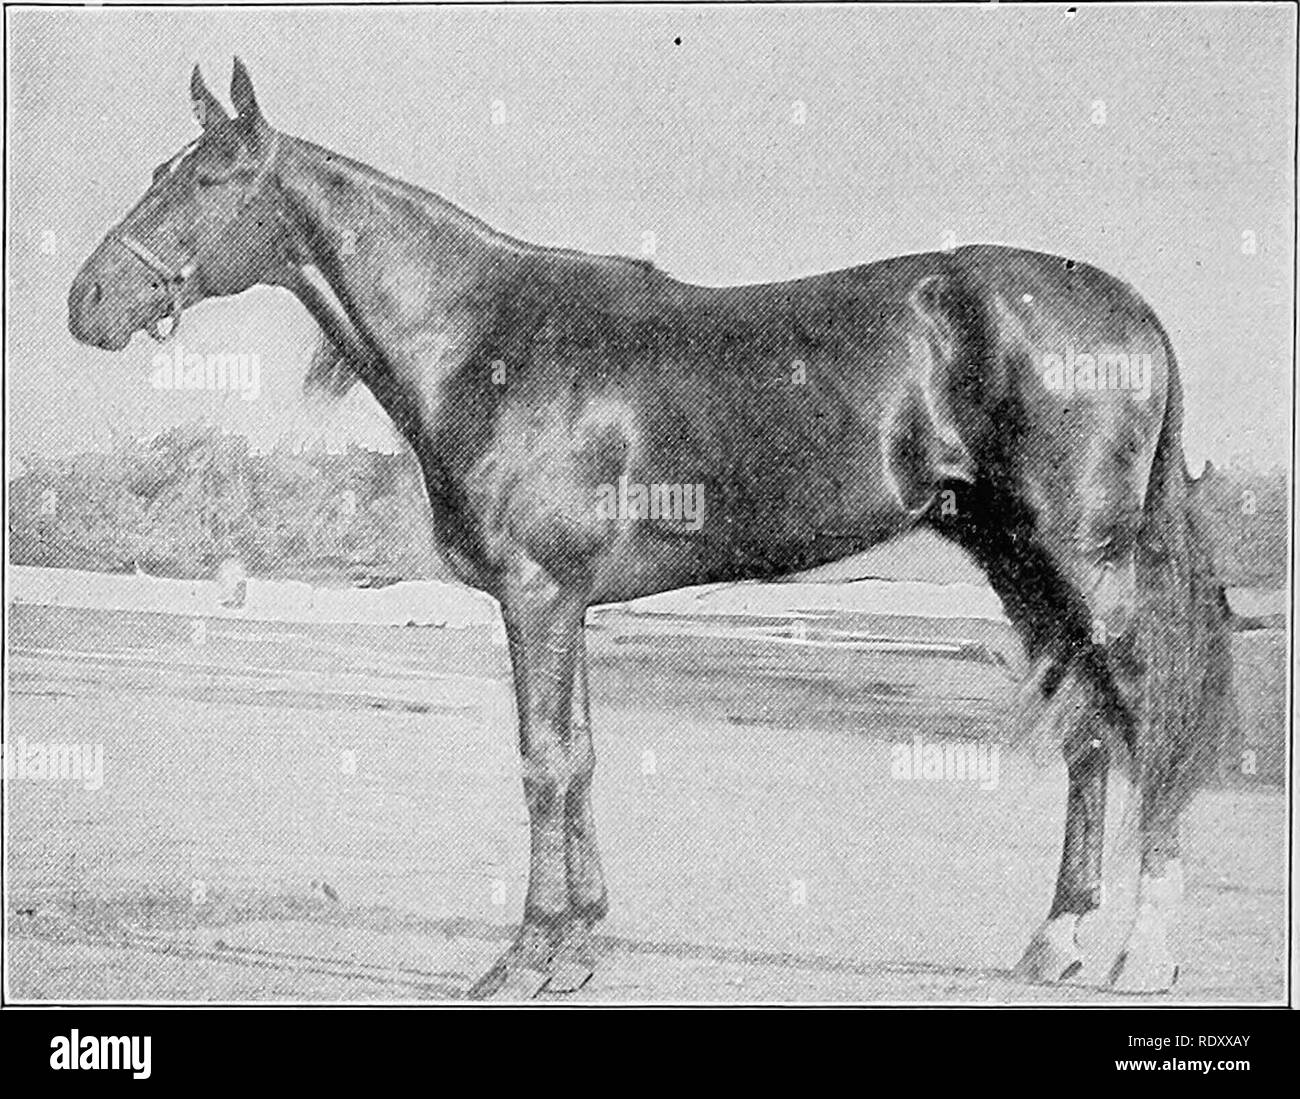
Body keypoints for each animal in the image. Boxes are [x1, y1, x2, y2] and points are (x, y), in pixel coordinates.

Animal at [68, 60, 1234, 999]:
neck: (484, 338)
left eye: (206, 180)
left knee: (1143, 716)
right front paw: (581, 945)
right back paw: (1056, 941)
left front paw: (525, 955)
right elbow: (580, 754)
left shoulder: (538, 592)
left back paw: (1146, 955)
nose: (87, 301)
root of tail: (1127, 307)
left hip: (1084, 560)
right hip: (1019, 561)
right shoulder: (567, 600)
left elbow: (542, 760)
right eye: (160, 169)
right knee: (1088, 731)